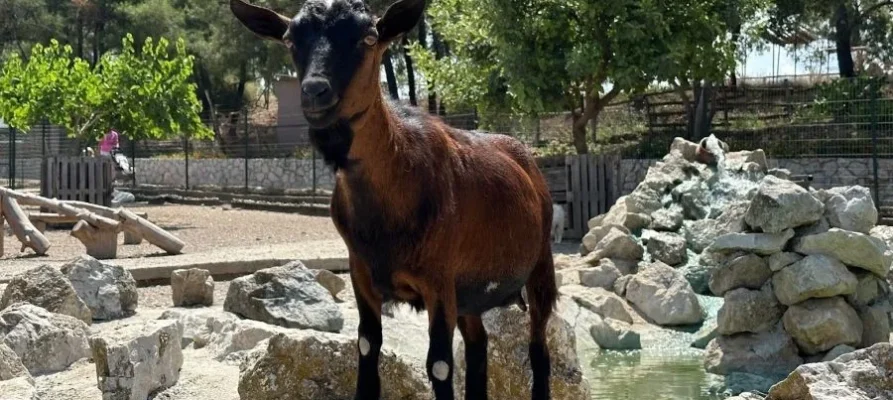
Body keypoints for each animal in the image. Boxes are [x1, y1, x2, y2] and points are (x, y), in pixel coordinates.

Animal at [228, 1, 556, 398]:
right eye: (291, 39)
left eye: (370, 39)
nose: (314, 91)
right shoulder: (362, 273)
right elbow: (367, 346)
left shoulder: (438, 280)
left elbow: (441, 365)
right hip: (470, 294)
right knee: (479, 347)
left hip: (540, 267)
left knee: (538, 349)